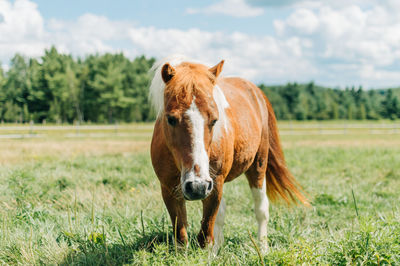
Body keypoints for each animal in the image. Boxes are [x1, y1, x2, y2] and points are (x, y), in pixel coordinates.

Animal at [148, 54, 308, 251]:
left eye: (214, 120)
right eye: (170, 119)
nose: (197, 186)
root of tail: (256, 92)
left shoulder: (214, 185)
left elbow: (205, 236)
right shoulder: (169, 188)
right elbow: (181, 237)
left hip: (258, 166)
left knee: (261, 209)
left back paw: (263, 248)